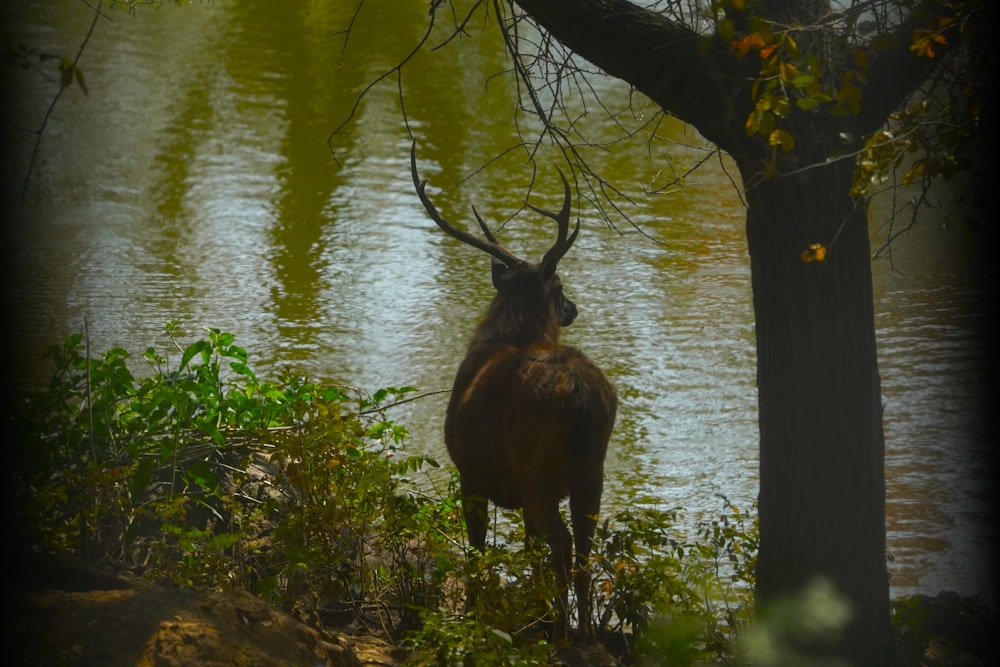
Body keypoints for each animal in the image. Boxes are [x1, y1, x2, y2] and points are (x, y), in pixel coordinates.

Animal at [408, 142, 616, 640]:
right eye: (560, 286)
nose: (572, 308)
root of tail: (582, 399)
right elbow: (525, 552)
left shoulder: (470, 470)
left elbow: (479, 550)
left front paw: (472, 614)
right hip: (591, 469)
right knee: (584, 544)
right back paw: (582, 630)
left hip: (537, 468)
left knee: (562, 541)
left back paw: (561, 631)